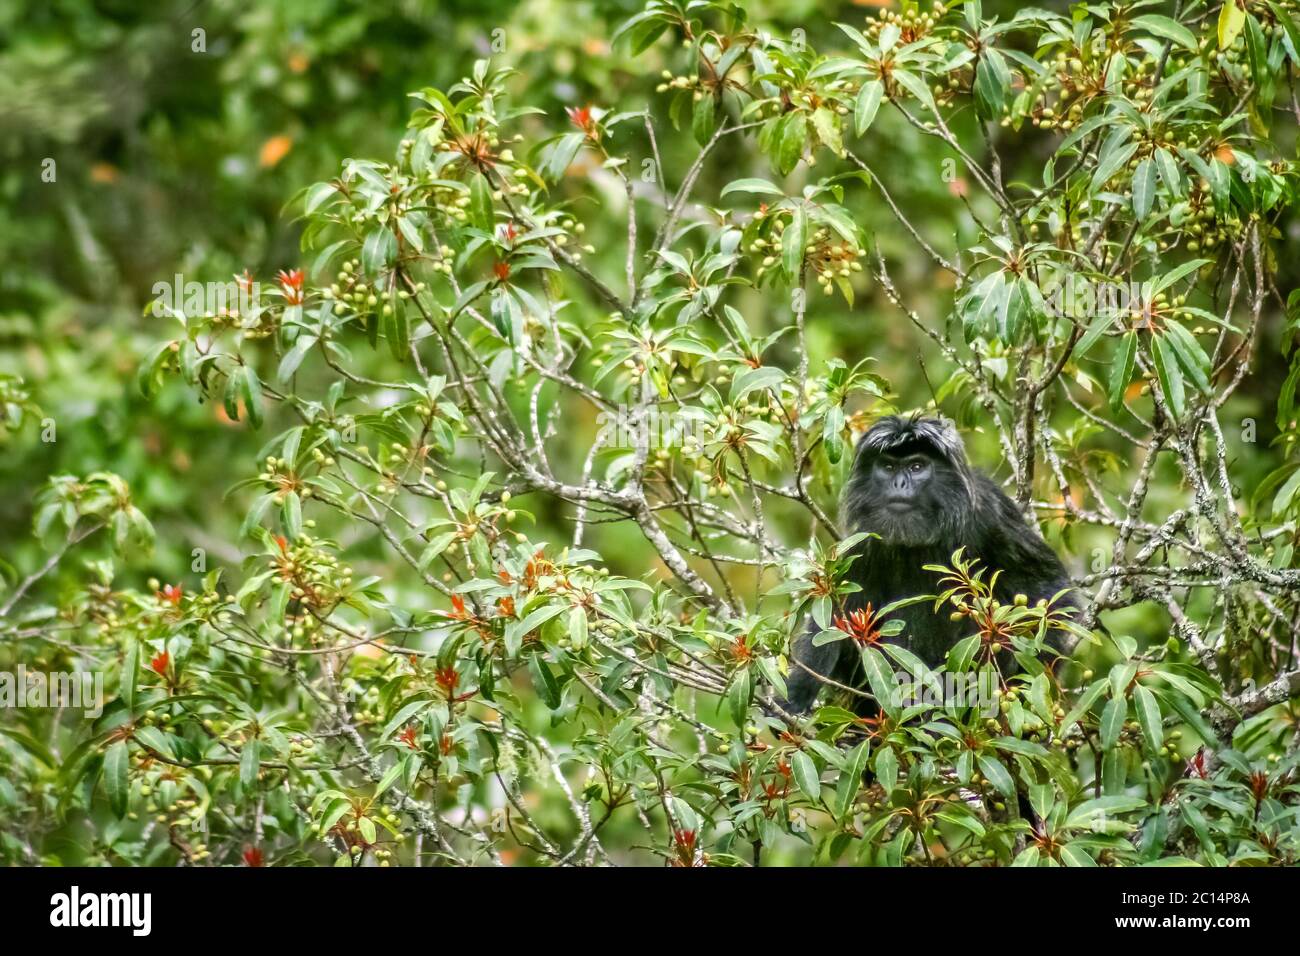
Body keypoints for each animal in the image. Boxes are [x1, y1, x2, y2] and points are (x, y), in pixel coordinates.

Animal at [780, 414, 1074, 715]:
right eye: (888, 467)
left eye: (917, 466)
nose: (899, 483)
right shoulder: (867, 538)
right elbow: (834, 623)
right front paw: (794, 697)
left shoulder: (989, 513)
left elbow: (1048, 592)